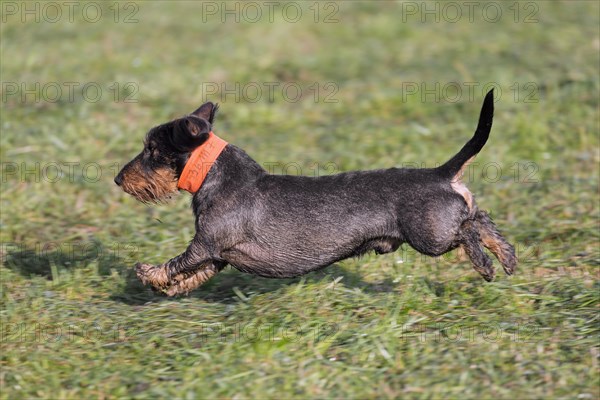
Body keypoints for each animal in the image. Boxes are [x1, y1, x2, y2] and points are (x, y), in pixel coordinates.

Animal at [116, 91, 516, 296]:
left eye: (152, 150)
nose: (118, 179)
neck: (216, 175)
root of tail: (441, 173)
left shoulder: (205, 244)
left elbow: (175, 263)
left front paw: (149, 274)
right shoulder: (216, 257)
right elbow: (193, 275)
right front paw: (169, 288)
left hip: (430, 237)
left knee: (467, 231)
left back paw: (486, 264)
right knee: (481, 217)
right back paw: (507, 256)